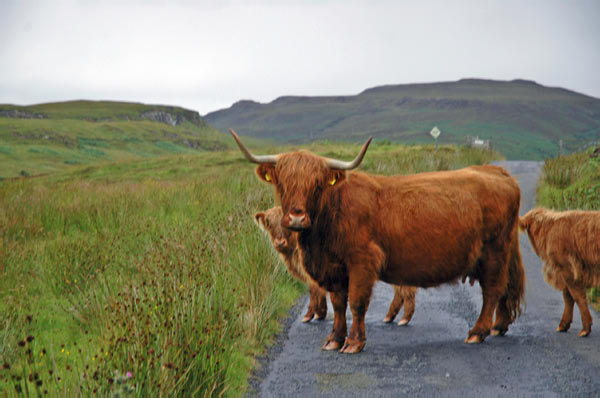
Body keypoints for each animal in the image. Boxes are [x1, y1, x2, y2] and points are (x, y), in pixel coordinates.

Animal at [255, 207, 420, 324]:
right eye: (270, 224)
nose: (279, 242)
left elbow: (314, 291)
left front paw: (309, 315)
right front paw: (320, 313)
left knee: (406, 289)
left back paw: (403, 318)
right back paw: (391, 317)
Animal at [516, 208, 596, 336]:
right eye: (533, 229)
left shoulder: (567, 269)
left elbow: (577, 296)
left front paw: (585, 329)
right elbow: (568, 296)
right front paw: (564, 325)